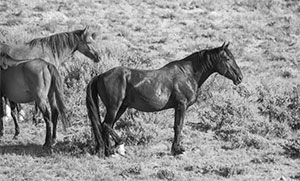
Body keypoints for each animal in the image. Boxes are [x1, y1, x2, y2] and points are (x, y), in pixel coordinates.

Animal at [85, 42, 243, 157]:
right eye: (227, 58)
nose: (239, 77)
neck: (188, 74)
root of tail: (101, 75)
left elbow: (177, 126)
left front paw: (176, 149)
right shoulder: (181, 105)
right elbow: (178, 126)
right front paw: (177, 150)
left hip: (121, 108)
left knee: (106, 126)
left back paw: (108, 152)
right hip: (114, 107)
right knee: (106, 125)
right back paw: (119, 148)